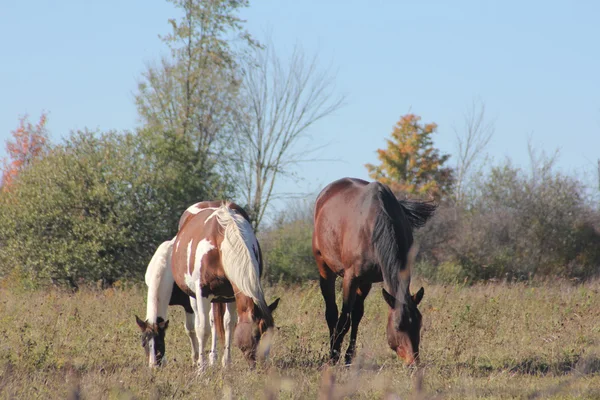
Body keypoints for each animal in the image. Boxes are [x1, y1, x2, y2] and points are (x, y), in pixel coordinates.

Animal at [170, 200, 280, 368]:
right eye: (256, 334)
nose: (262, 364)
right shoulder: (202, 292)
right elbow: (203, 329)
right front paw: (202, 368)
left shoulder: (232, 294)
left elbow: (229, 324)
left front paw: (226, 363)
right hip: (194, 296)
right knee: (201, 323)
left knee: (216, 322)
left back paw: (214, 358)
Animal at [312, 178, 434, 366]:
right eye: (398, 326)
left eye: (419, 324)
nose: (413, 363)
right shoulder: (351, 278)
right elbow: (344, 319)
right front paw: (334, 356)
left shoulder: (368, 279)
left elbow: (356, 316)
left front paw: (348, 356)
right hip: (325, 268)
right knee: (331, 312)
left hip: (364, 283)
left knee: (356, 314)